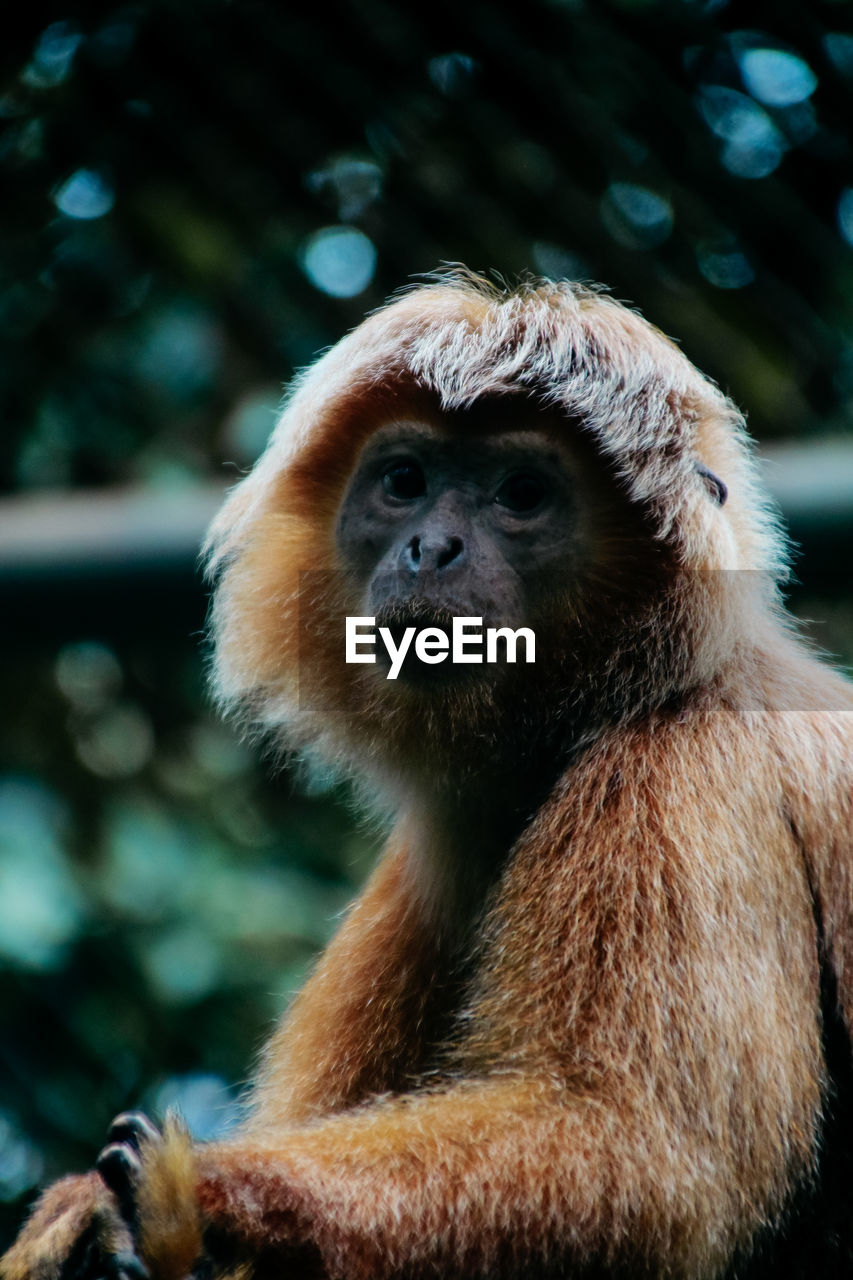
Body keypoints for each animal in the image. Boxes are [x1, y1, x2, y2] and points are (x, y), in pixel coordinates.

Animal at [4, 272, 850, 1280]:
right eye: (403, 483)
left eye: (521, 494)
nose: (430, 549)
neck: (619, 701)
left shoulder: (687, 785)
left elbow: (648, 1164)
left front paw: (189, 1202)